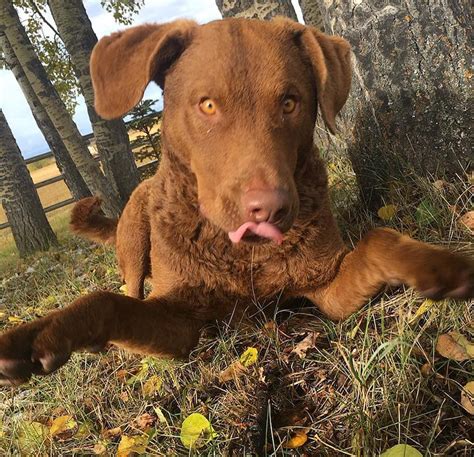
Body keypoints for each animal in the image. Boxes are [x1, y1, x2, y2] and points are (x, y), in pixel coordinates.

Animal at [0, 19, 474, 386]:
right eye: (208, 105)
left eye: (290, 102)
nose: (270, 209)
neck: (243, 256)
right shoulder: (183, 318)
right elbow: (107, 302)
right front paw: (36, 336)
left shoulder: (324, 283)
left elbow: (378, 240)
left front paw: (441, 266)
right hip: (133, 236)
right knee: (127, 286)